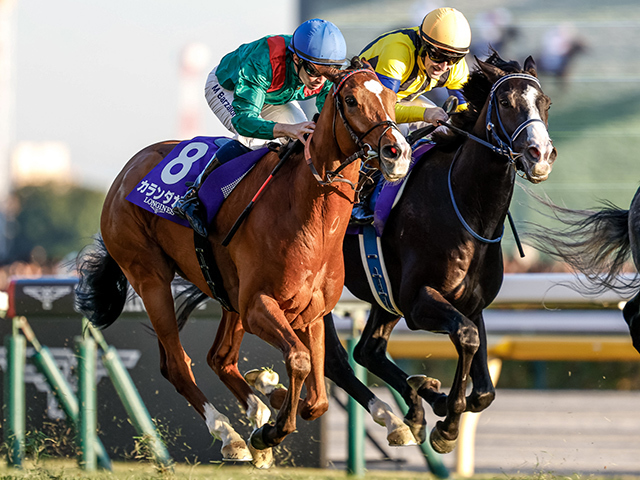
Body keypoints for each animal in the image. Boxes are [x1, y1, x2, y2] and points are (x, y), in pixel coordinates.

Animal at [75, 58, 411, 467]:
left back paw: (261, 401)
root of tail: (126, 173)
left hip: (227, 294)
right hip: (150, 277)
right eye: (350, 99)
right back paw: (231, 435)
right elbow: (300, 360)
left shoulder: (312, 313)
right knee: (177, 364)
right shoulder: (258, 305)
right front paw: (270, 432)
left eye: (393, 98)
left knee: (220, 358)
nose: (397, 152)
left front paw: (274, 404)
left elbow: (317, 398)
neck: (308, 216)